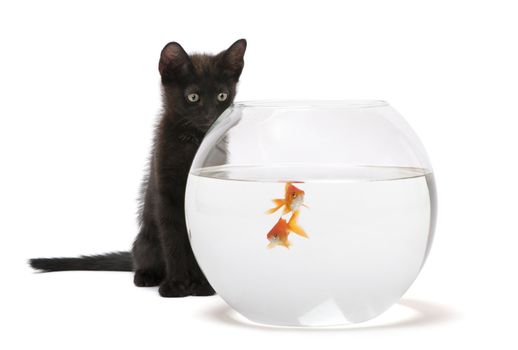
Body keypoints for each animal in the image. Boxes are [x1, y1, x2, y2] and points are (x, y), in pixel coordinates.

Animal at [29, 38, 249, 296]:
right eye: (193, 97)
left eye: (222, 96)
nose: (211, 116)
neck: (193, 141)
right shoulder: (165, 194)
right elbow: (173, 241)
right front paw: (176, 284)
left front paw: (201, 285)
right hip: (146, 241)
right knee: (144, 259)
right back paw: (146, 276)